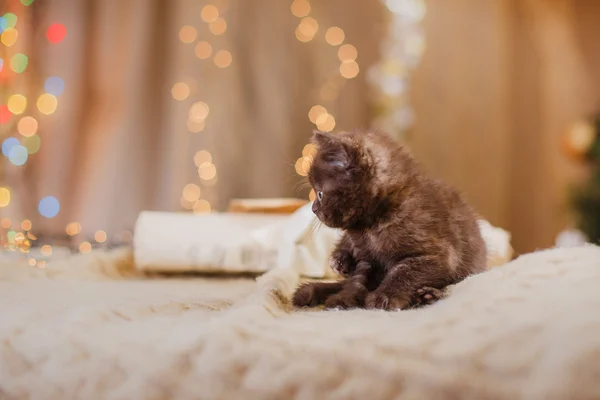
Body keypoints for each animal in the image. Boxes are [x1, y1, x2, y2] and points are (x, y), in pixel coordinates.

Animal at [294, 130, 488, 310]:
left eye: (320, 194)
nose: (313, 209)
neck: (371, 226)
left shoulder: (438, 254)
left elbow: (404, 272)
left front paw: (384, 297)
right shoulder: (367, 259)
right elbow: (357, 280)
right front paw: (344, 299)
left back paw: (426, 295)